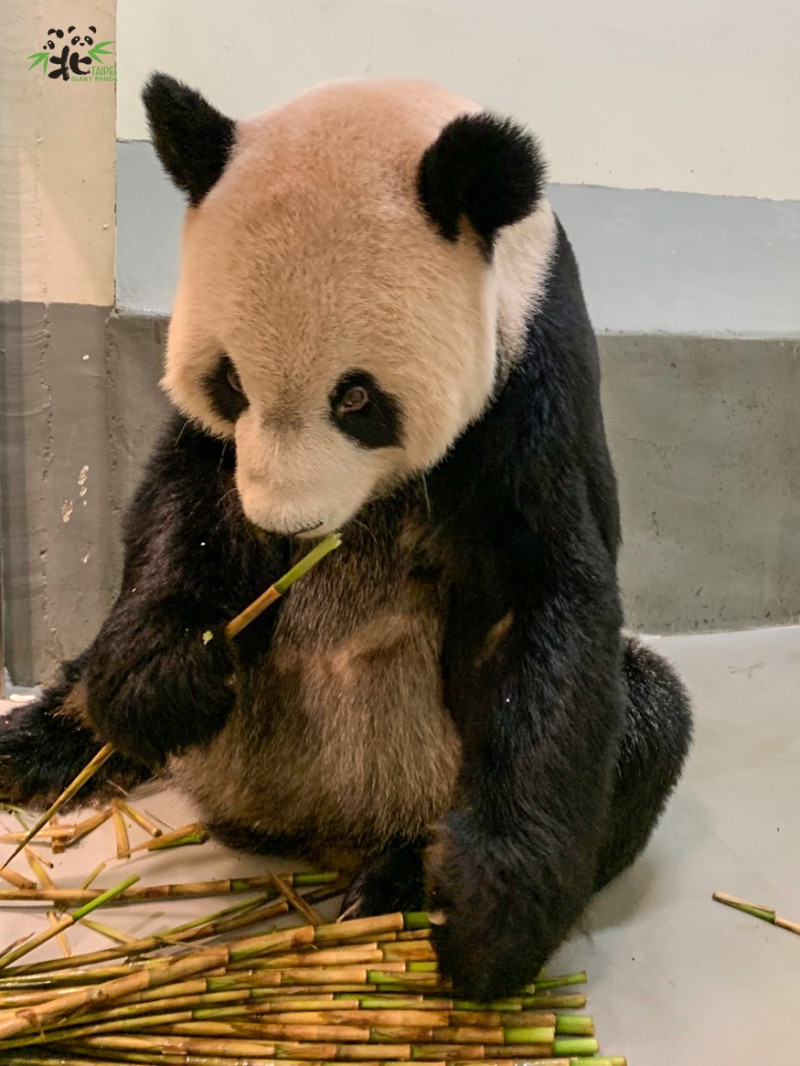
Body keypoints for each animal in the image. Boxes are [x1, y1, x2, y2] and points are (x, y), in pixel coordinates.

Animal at [0, 75, 695, 997]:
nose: (284, 524)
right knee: (81, 686)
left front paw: (488, 915)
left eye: (356, 398)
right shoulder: (216, 457)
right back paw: (33, 746)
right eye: (230, 380)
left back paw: (402, 882)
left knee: (647, 721)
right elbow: (185, 495)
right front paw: (168, 675)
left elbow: (541, 597)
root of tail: (308, 825)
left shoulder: (534, 370)